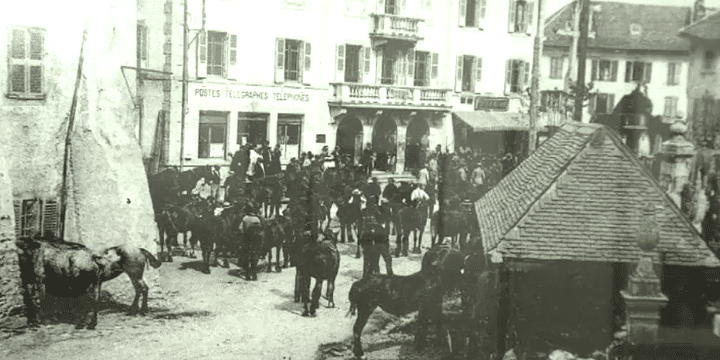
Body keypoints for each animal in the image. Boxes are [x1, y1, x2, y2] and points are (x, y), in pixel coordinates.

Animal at [15, 236, 163, 330]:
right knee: (139, 289)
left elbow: (37, 301)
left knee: (142, 289)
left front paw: (38, 321)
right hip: (130, 277)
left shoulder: (40, 281)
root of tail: (139, 249)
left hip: (133, 275)